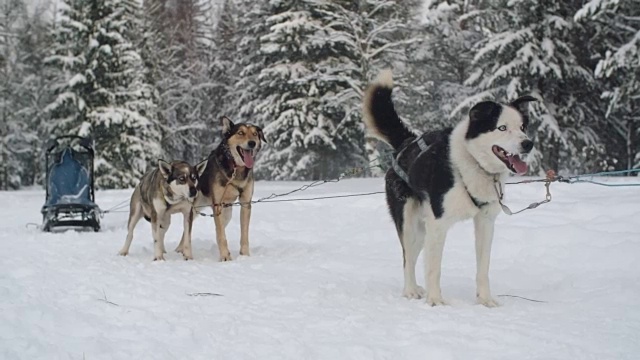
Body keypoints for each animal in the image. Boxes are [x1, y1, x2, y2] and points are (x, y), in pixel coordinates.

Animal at [195, 118, 264, 262]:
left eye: (255, 134)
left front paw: (245, 255)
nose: (252, 143)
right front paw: (225, 256)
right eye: (240, 133)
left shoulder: (245, 203)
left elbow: (244, 234)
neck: (236, 168)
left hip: (227, 213)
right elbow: (222, 235)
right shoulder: (217, 205)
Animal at [362, 70, 536, 306]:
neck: (473, 162)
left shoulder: (485, 223)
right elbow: (434, 268)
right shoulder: (438, 224)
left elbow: (483, 268)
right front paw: (435, 300)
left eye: (522, 127)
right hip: (409, 224)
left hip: (422, 230)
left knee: (413, 257)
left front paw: (485, 300)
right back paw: (411, 290)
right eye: (502, 127)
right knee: (407, 258)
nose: (528, 144)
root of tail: (406, 143)